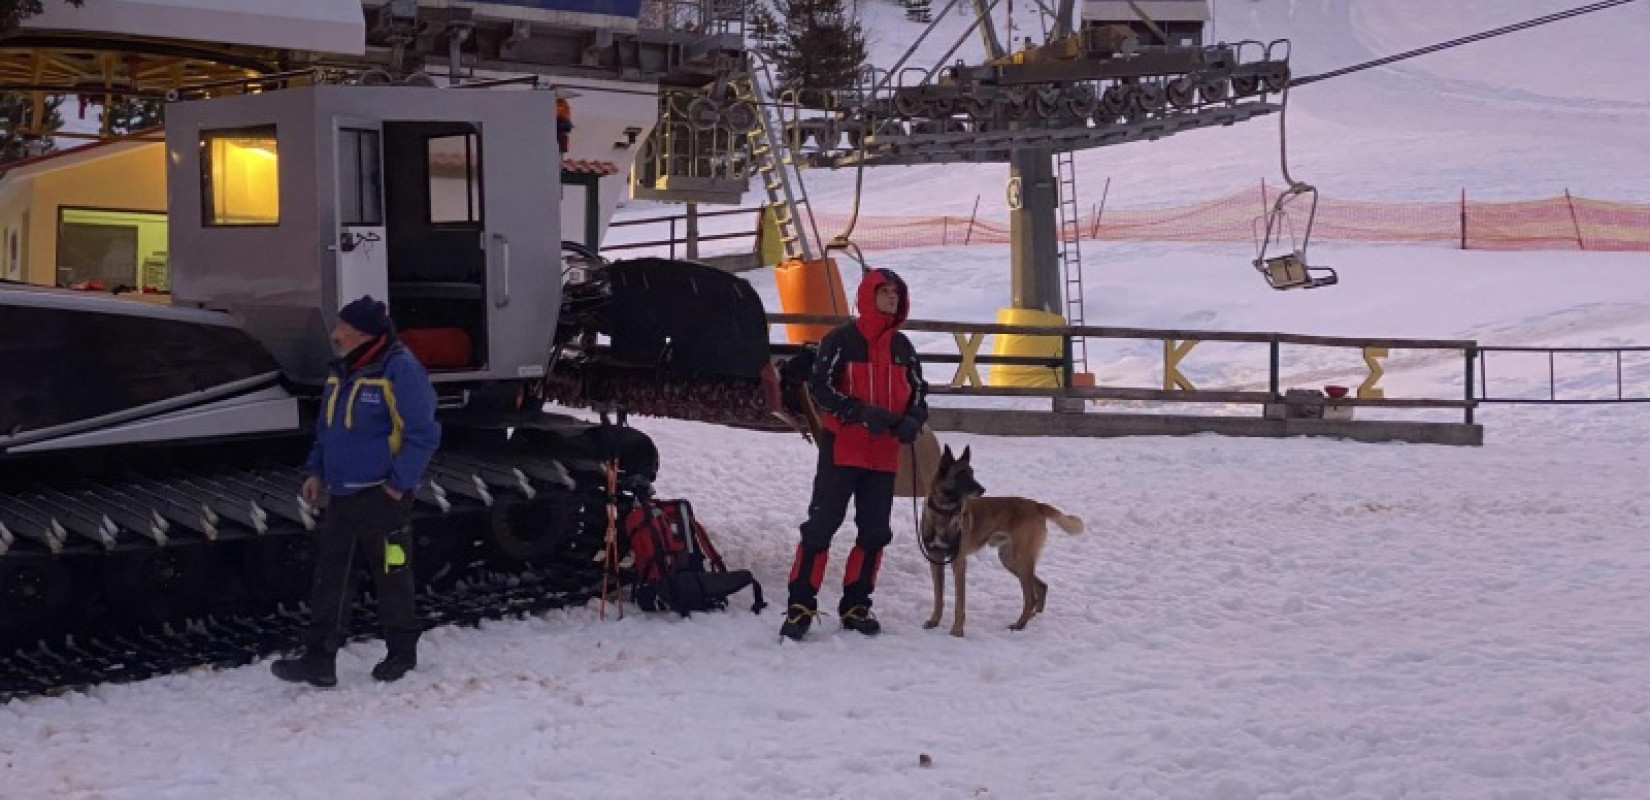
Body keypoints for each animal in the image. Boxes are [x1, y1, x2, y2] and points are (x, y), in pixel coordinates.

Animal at [917, 442, 1082, 636]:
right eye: (961, 474)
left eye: (972, 473)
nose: (982, 489)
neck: (944, 513)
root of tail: (1036, 505)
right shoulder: (935, 560)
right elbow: (938, 596)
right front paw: (934, 621)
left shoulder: (959, 563)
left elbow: (959, 602)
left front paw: (957, 630)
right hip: (1010, 560)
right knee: (1041, 587)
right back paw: (1032, 618)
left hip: (1020, 560)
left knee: (1030, 597)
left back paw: (1020, 624)